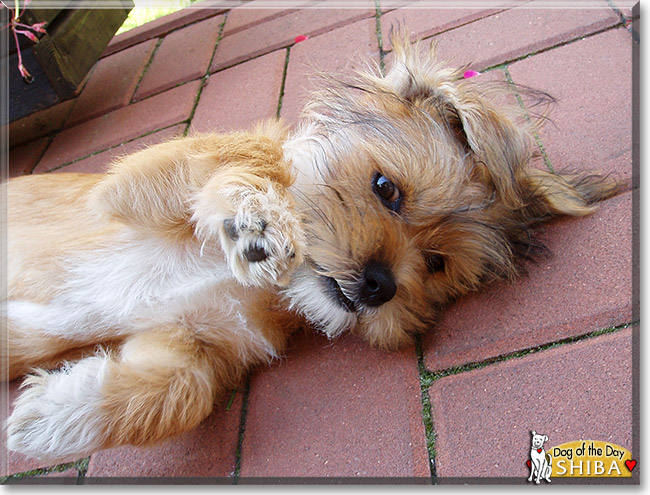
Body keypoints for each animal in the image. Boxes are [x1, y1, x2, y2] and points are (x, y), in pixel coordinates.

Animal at [2, 32, 616, 464]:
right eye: (386, 189)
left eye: (436, 264)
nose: (379, 286)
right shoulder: (126, 186)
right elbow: (243, 157)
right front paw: (257, 220)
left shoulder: (192, 343)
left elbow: (181, 393)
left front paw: (51, 418)